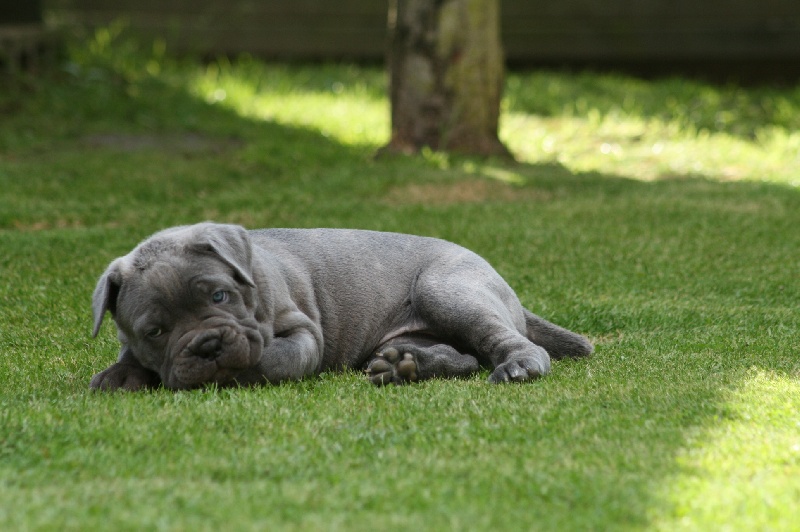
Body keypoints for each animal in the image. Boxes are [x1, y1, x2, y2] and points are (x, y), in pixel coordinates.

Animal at [92, 221, 592, 390]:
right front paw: (120, 375)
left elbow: (273, 357)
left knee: (503, 341)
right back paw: (404, 366)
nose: (209, 345)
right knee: (463, 357)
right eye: (156, 331)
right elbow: (127, 358)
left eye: (220, 296)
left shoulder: (303, 334)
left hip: (447, 290)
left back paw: (519, 366)